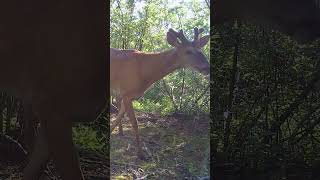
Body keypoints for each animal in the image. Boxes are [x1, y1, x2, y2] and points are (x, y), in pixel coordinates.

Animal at [110, 27, 210, 158]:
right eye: (188, 51)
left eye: (200, 49)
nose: (207, 67)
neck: (145, 71)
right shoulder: (126, 92)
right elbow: (135, 123)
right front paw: (140, 154)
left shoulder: (129, 95)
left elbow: (119, 116)